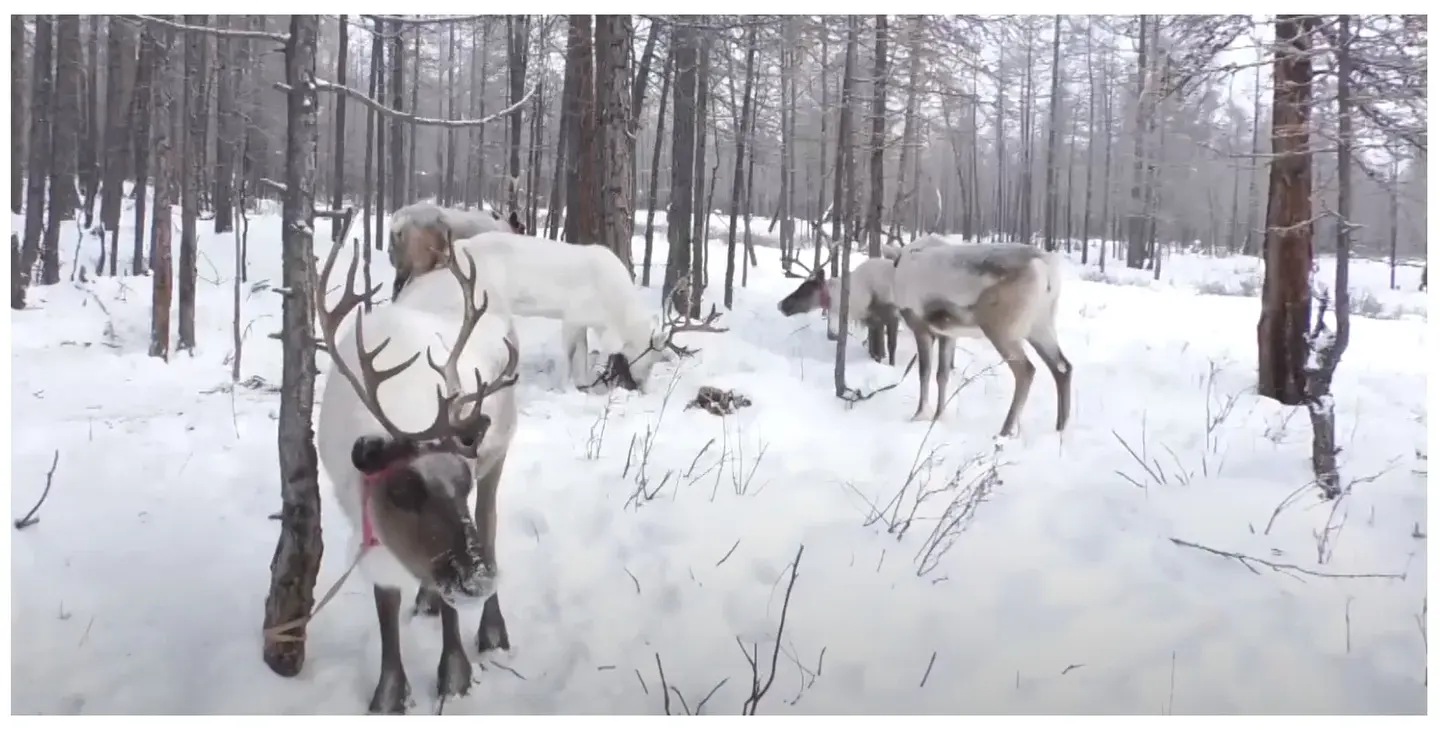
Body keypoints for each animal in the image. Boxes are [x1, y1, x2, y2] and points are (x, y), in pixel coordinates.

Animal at [314, 226, 521, 714]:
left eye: (463, 482)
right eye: (403, 489)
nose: (479, 580)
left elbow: (449, 605)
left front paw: (455, 676)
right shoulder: (366, 522)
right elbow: (386, 605)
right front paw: (389, 693)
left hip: (500, 453)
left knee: (489, 525)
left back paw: (492, 630)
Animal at [387, 202, 525, 297]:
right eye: (522, 228)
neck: (503, 227)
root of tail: (399, 225)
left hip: (401, 264)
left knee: (396, 287)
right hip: (422, 263)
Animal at [390, 226, 725, 392]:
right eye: (652, 355)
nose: (642, 387)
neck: (613, 314)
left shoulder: (584, 322)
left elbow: (583, 355)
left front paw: (582, 383)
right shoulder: (572, 315)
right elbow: (569, 353)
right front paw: (563, 387)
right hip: (483, 302)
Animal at [885, 236, 1072, 438]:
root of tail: (1046, 270)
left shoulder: (921, 328)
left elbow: (924, 373)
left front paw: (919, 415)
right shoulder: (948, 334)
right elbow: (942, 375)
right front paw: (938, 415)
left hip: (1002, 330)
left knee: (1026, 370)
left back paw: (1005, 430)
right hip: (1040, 326)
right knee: (1063, 367)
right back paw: (1061, 427)